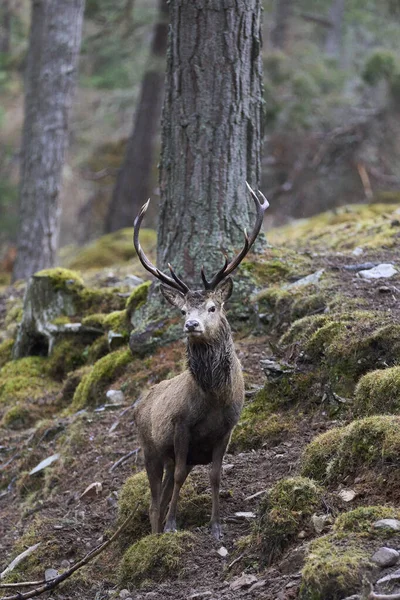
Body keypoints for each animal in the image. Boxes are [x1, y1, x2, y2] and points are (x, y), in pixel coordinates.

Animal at [132, 183, 268, 540]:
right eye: (182, 310)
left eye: (212, 307)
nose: (190, 325)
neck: (214, 399)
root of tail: (138, 404)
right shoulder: (181, 426)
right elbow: (181, 477)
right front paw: (172, 527)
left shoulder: (227, 430)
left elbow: (216, 476)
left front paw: (216, 526)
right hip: (150, 449)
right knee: (154, 499)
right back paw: (156, 531)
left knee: (162, 492)